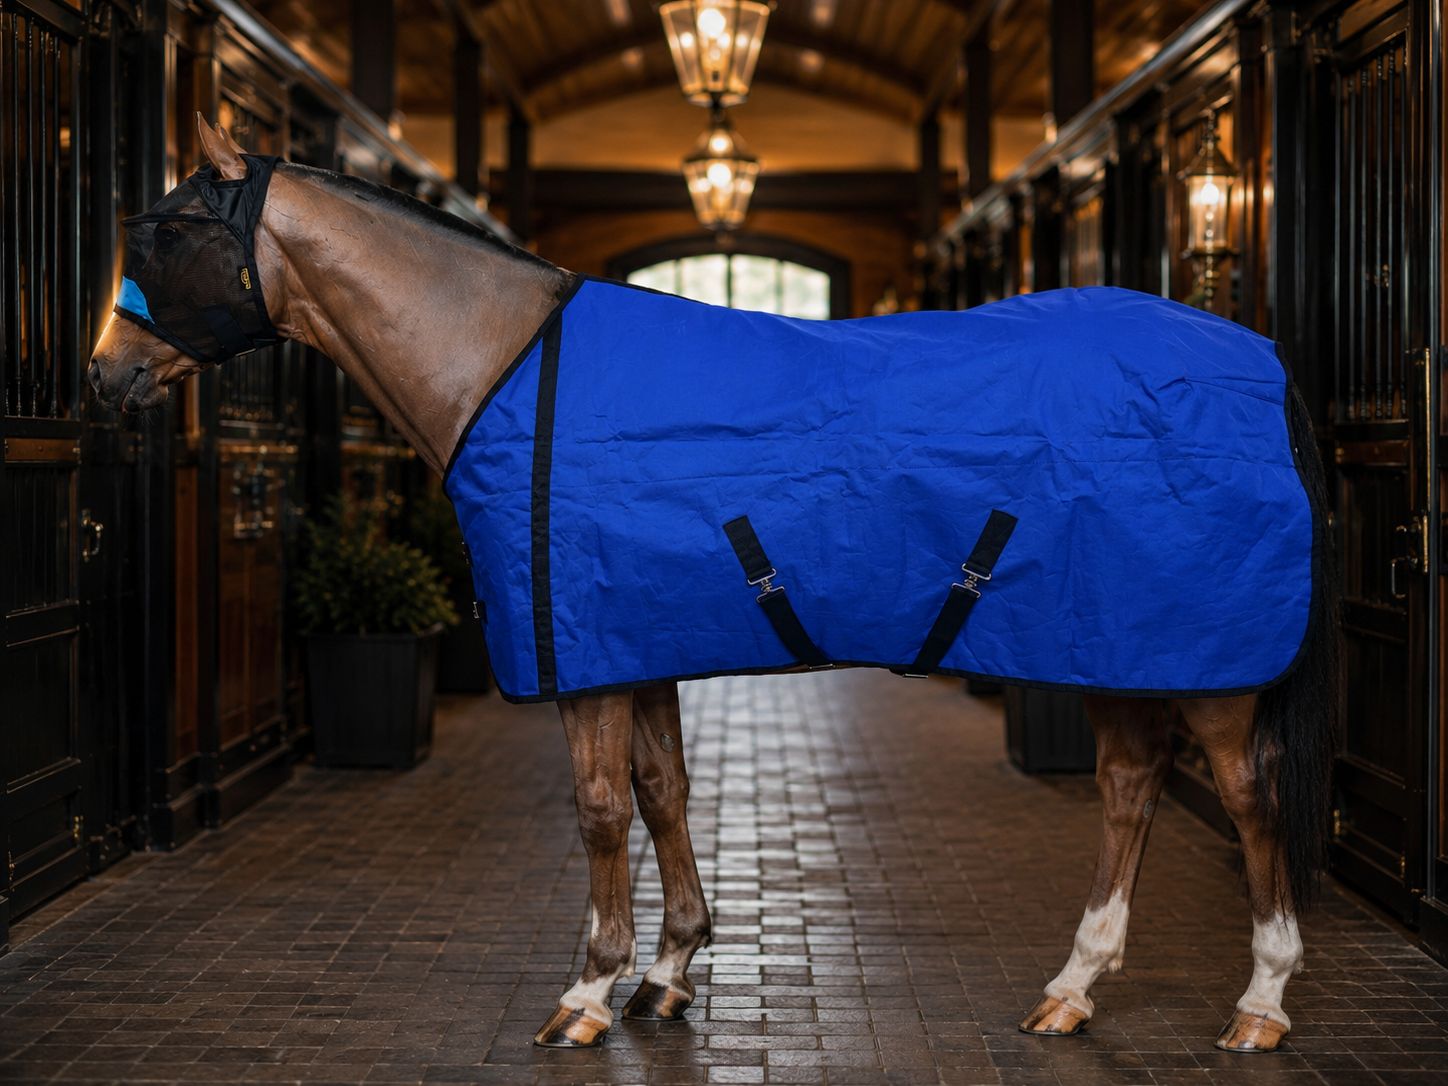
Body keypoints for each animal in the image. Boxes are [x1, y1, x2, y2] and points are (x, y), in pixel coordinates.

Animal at [89, 117, 1337, 1054]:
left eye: (172, 228)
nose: (105, 375)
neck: (505, 363)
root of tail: (1262, 361)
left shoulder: (587, 651)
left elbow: (601, 809)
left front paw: (587, 992)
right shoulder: (637, 642)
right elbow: (663, 793)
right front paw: (672, 969)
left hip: (1207, 667)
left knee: (1249, 802)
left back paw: (1260, 1004)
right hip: (1124, 644)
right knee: (1126, 790)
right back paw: (1071, 989)